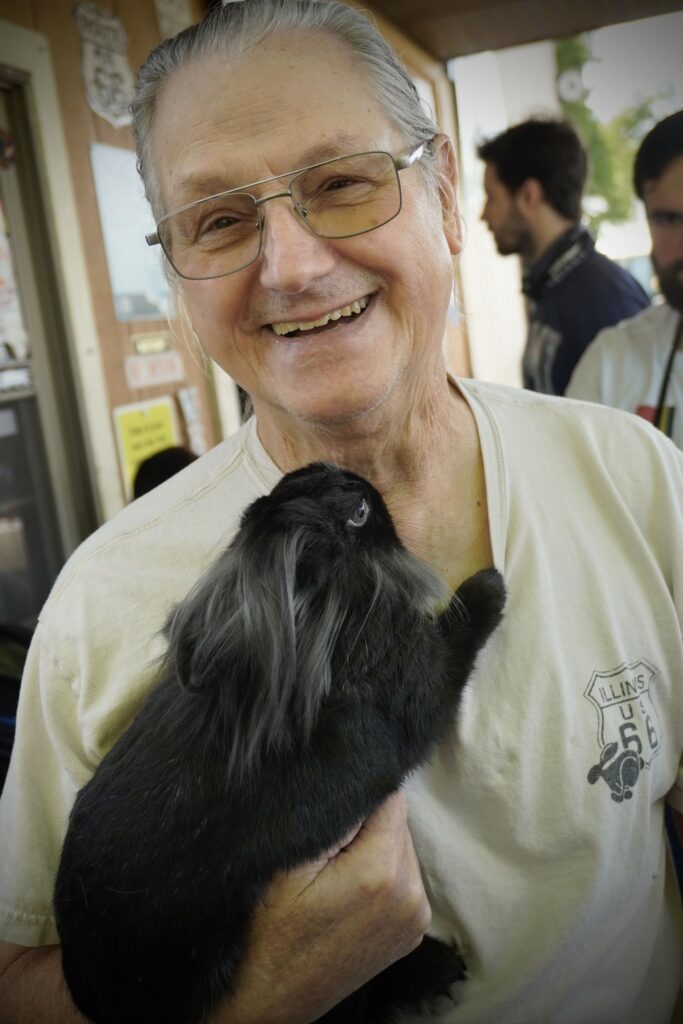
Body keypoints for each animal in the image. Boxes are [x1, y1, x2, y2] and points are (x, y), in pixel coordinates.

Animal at [54, 464, 507, 1024]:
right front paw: (490, 586)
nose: (364, 484)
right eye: (359, 514)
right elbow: (459, 636)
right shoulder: (420, 683)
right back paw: (434, 969)